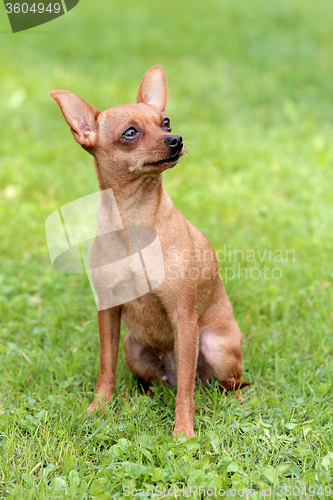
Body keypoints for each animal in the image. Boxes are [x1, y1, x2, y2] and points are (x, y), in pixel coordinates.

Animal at [51, 65, 244, 438]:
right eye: (130, 132)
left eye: (165, 121)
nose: (176, 139)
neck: (134, 219)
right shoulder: (108, 312)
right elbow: (105, 366)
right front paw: (99, 408)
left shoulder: (184, 318)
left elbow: (185, 392)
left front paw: (183, 432)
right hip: (134, 347)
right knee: (161, 381)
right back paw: (143, 395)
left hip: (214, 347)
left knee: (215, 382)